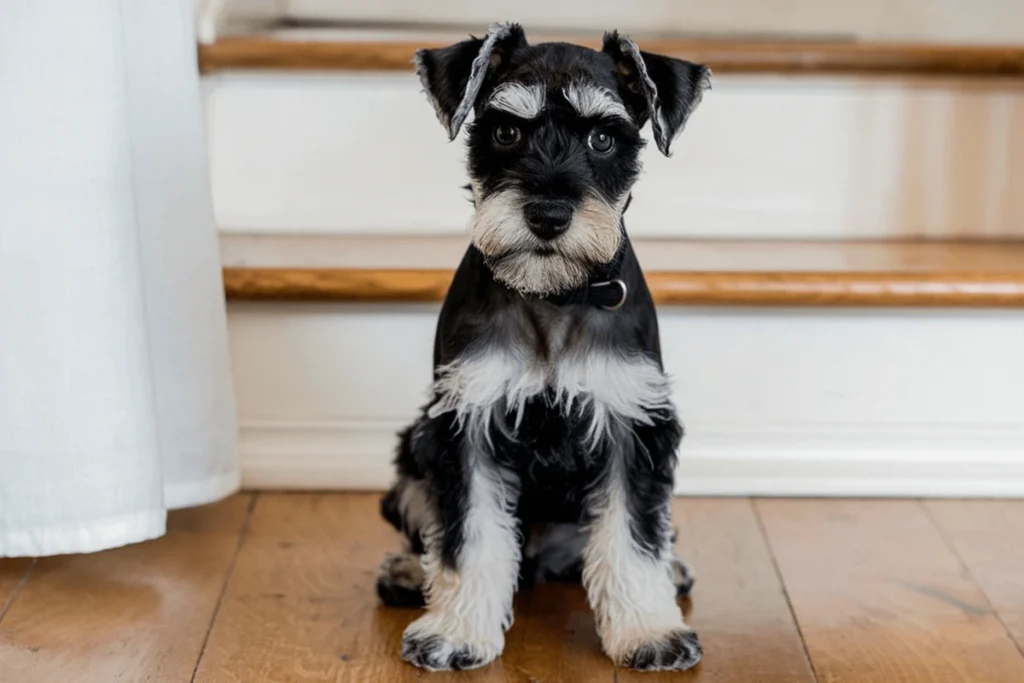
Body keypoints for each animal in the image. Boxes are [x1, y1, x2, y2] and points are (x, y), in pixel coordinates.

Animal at [378, 22, 712, 671]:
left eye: (604, 138)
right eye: (507, 131)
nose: (549, 215)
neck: (554, 296)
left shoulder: (633, 425)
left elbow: (633, 539)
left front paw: (649, 632)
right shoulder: (465, 425)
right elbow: (466, 536)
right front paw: (456, 632)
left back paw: (676, 570)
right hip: (411, 455)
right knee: (429, 527)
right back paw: (408, 571)